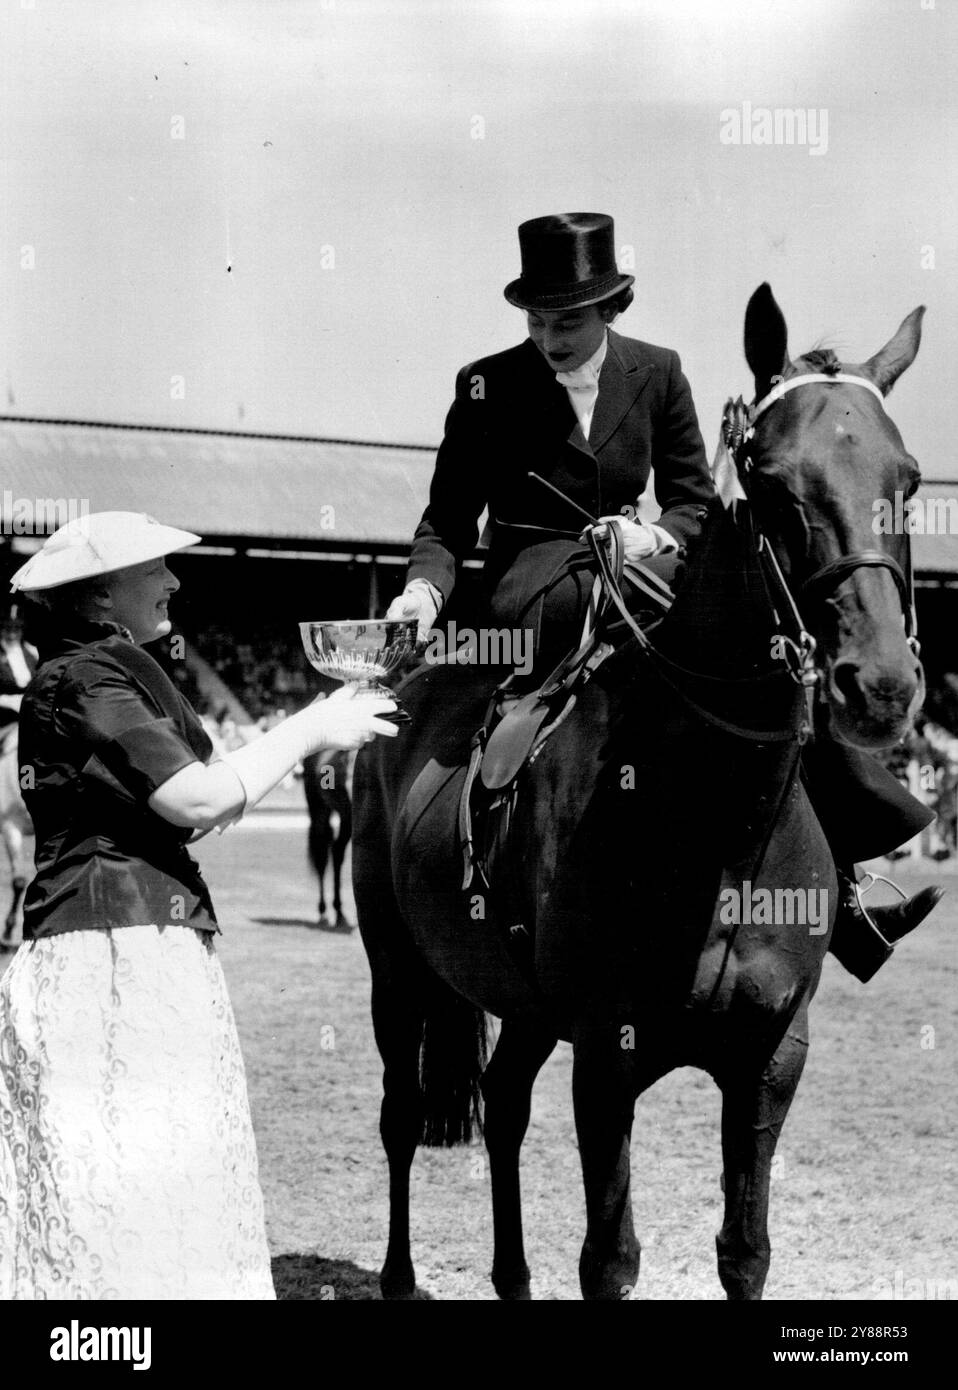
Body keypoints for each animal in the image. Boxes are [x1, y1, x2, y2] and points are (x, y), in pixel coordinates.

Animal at [353, 284, 928, 1301]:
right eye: (772, 482)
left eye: (910, 479)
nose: (881, 686)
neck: (721, 834)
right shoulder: (607, 1059)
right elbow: (609, 1259)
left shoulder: (771, 1058)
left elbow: (746, 1251)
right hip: (399, 971)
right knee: (402, 1112)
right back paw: (399, 1276)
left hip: (524, 1007)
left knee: (503, 1105)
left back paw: (511, 1278)